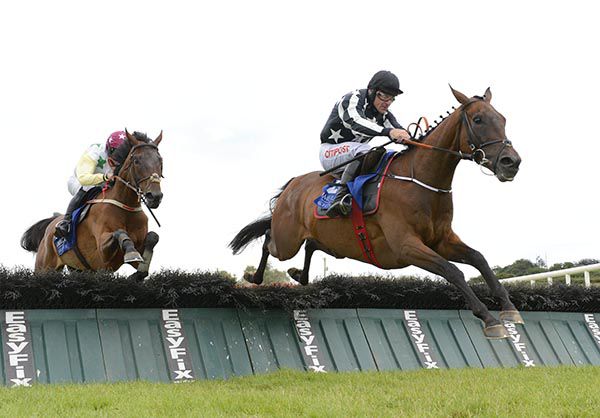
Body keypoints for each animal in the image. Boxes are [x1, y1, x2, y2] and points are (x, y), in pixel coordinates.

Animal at [21, 130, 164, 281]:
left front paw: (138, 273)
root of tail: (50, 226)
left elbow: (153, 238)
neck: (125, 206)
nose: (154, 196)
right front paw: (131, 252)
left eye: (160, 160)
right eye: (136, 161)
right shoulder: (102, 252)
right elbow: (120, 233)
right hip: (44, 267)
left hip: (77, 269)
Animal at [230, 86, 522, 339]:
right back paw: (253, 277)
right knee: (268, 239)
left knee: (310, 244)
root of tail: (293, 184)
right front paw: (489, 319)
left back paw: (298, 275)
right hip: (286, 240)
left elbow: (479, 258)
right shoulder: (406, 246)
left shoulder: (442, 240)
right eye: (478, 119)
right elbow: (452, 271)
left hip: (326, 240)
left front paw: (509, 309)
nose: (512, 162)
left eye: (503, 118)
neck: (420, 180)